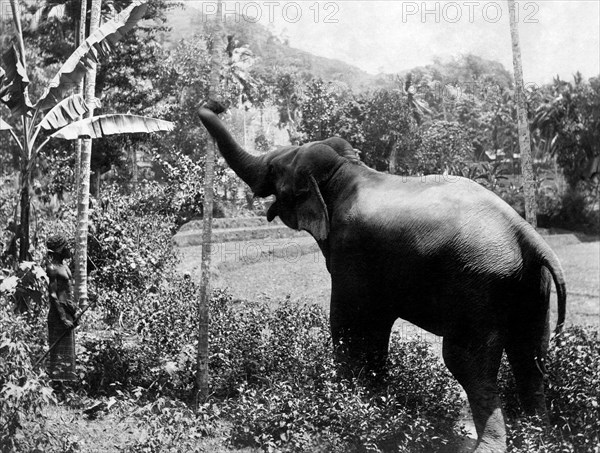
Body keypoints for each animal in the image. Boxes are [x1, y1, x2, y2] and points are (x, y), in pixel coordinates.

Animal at [198, 100, 568, 452]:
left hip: (479, 285)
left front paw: (345, 404)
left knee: (466, 361)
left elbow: (347, 322)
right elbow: (376, 327)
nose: (217, 103)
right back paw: (540, 438)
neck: (346, 169)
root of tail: (524, 230)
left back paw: (489, 446)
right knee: (530, 357)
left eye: (275, 170)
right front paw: (376, 406)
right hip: (530, 286)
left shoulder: (350, 252)